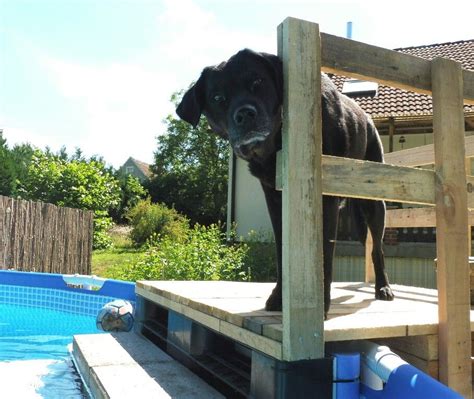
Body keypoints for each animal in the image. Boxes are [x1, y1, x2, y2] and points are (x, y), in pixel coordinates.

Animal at [176, 49, 394, 316]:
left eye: (257, 81)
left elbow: (323, 253)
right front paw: (280, 297)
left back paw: (383, 288)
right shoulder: (274, 199)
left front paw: (319, 305)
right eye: (218, 97)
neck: (277, 141)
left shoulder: (325, 200)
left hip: (374, 202)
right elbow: (282, 252)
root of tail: (368, 119)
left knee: (378, 249)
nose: (244, 113)